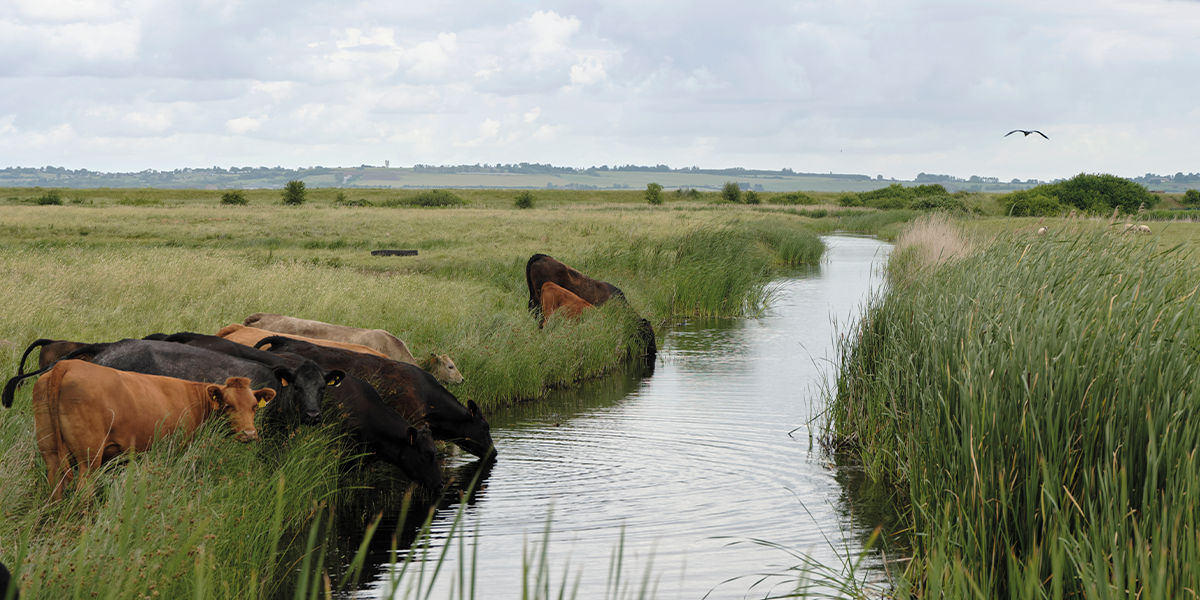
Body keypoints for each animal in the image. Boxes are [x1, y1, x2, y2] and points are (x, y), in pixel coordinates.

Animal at [32, 360, 273, 500]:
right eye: (228, 405)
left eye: (254, 406)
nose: (249, 434)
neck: (194, 398)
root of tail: (68, 364)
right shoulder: (177, 449)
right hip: (89, 457)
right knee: (84, 489)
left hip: (50, 451)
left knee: (55, 484)